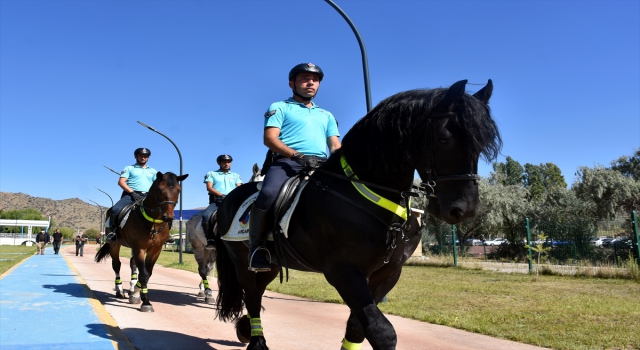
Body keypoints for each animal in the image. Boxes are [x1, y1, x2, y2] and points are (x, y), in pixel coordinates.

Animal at [94, 172, 188, 312]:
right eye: (159, 189)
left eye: (178, 190)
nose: (168, 217)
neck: (153, 222)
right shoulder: (139, 248)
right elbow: (143, 274)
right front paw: (146, 302)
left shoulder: (155, 250)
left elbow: (147, 273)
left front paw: (136, 293)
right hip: (114, 244)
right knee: (116, 265)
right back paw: (119, 290)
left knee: (132, 263)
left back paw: (132, 288)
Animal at [214, 80, 500, 348]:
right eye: (444, 139)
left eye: (480, 146)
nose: (463, 209)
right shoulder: (344, 272)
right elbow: (382, 332)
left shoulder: (387, 274)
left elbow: (358, 328)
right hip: (243, 262)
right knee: (252, 296)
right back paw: (256, 341)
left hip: (271, 265)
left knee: (257, 294)